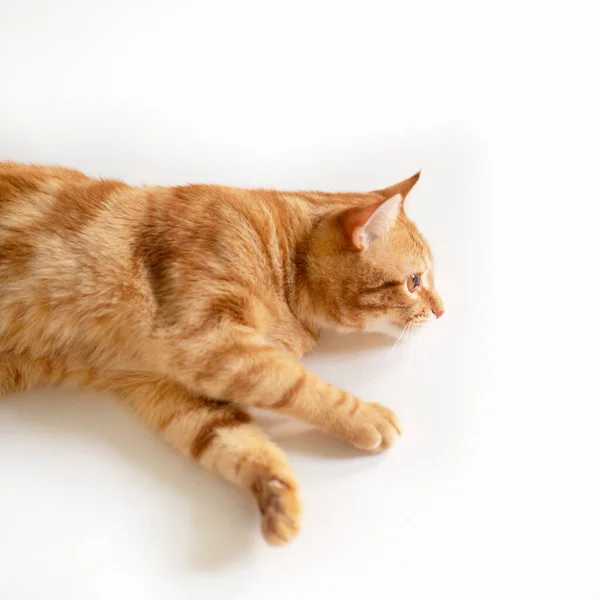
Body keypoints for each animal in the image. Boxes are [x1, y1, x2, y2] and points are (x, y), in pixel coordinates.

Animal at [0, 162, 440, 548]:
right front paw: (366, 416)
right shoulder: (209, 341)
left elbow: (234, 439)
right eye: (413, 282)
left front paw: (278, 496)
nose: (442, 311)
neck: (281, 260)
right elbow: (300, 385)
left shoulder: (172, 388)